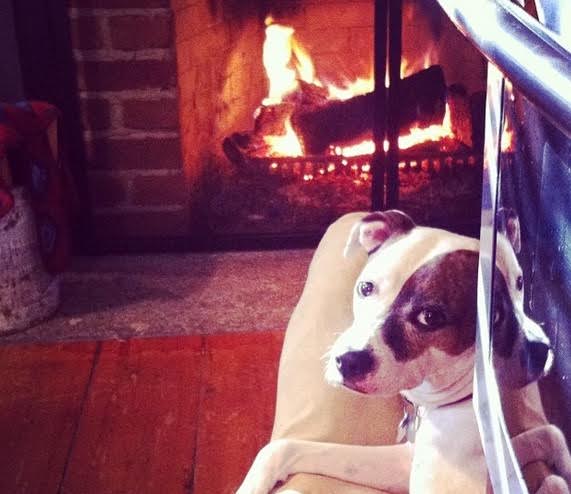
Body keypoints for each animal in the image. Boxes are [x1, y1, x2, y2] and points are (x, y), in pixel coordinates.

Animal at [237, 211, 571, 494]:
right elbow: (283, 448)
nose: (348, 362)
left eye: (430, 317)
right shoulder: (403, 463)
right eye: (366, 288)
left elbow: (548, 444)